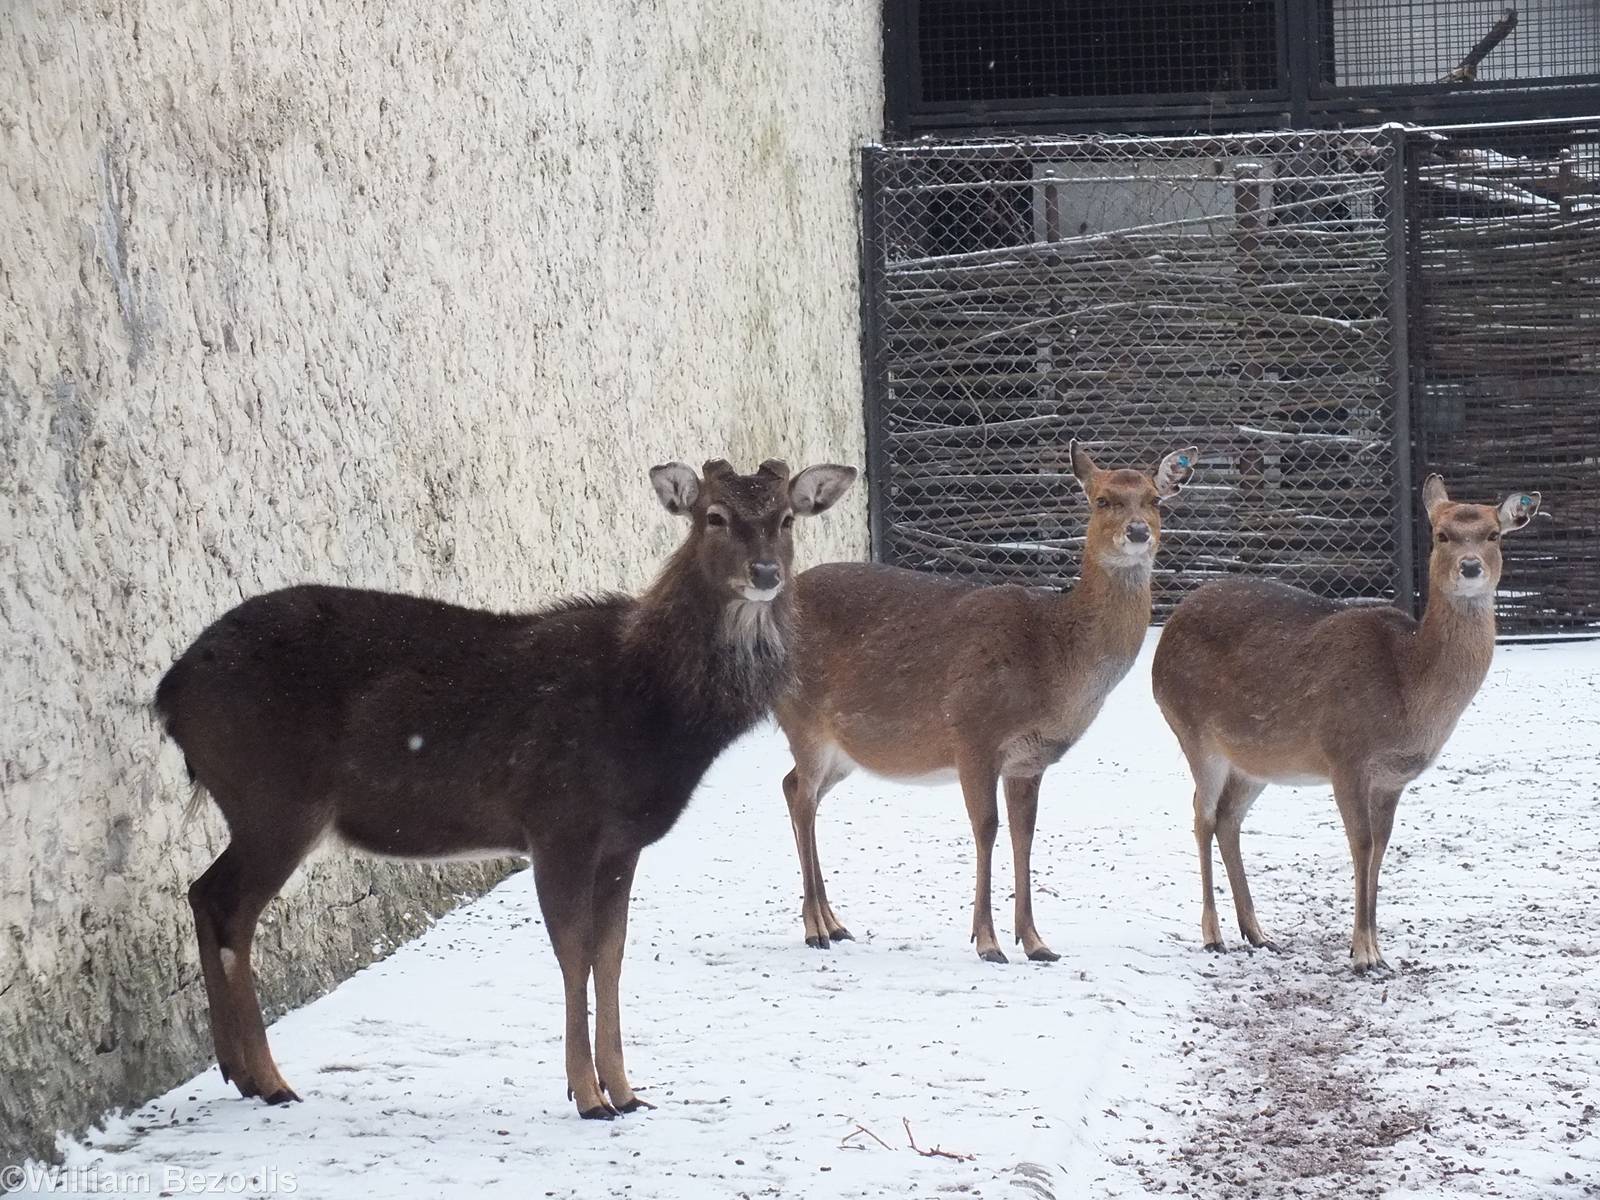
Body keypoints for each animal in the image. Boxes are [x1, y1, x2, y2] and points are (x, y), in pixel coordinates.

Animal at [153, 457, 856, 1119]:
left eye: (786, 518)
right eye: (714, 516)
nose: (765, 572)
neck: (649, 704)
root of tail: (168, 696)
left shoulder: (622, 841)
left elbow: (611, 956)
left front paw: (627, 1091)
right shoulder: (558, 822)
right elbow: (574, 954)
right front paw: (587, 1096)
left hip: (260, 807)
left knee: (205, 895)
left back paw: (242, 1074)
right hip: (274, 799)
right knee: (229, 908)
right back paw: (270, 1081)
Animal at [776, 441, 1196, 962]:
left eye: (1155, 500)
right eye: (1102, 500)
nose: (1138, 532)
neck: (1053, 659)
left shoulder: (1029, 757)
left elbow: (1024, 834)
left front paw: (1036, 942)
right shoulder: (972, 733)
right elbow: (987, 827)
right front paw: (988, 941)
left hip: (844, 748)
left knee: (794, 787)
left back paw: (835, 923)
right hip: (803, 719)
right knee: (802, 798)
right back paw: (815, 927)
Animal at [1152, 474, 1541, 972]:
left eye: (1493, 534)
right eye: (1441, 535)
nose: (1470, 567)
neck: (1407, 690)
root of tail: (1165, 631)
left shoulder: (1393, 778)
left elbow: (1381, 849)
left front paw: (1375, 949)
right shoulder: (1346, 755)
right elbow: (1361, 845)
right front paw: (1363, 954)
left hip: (1255, 760)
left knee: (1228, 819)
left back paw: (1258, 932)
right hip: (1193, 731)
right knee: (1201, 814)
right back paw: (1213, 934)